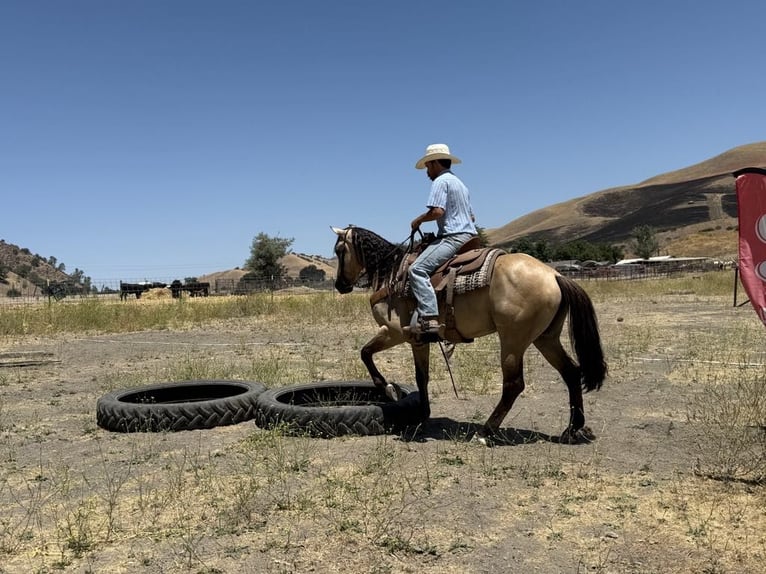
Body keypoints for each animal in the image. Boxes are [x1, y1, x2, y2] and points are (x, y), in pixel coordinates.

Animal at [331, 225, 607, 445]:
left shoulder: (395, 332)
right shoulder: (417, 340)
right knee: (571, 373)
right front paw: (422, 413)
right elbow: (422, 377)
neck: (392, 273)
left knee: (514, 385)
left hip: (513, 341)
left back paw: (485, 432)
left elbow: (366, 353)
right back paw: (572, 429)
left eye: (339, 250)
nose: (340, 285)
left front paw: (388, 389)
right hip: (546, 338)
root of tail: (555, 275)